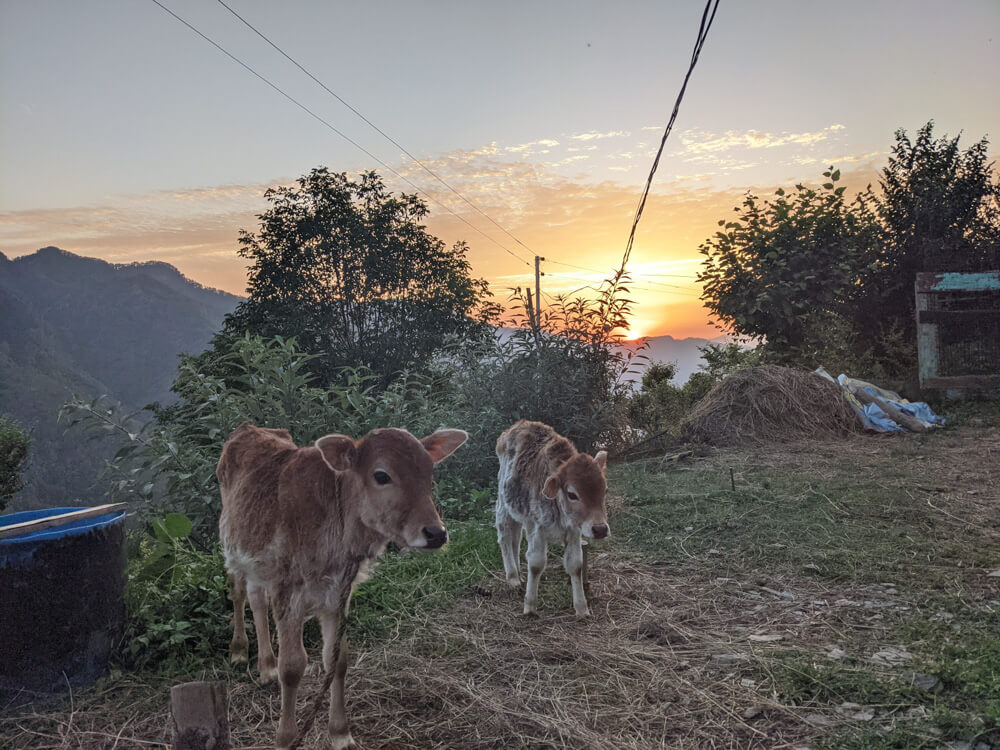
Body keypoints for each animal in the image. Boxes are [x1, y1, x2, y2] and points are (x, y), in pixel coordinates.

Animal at [217, 420, 466, 748]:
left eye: (429, 470)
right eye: (381, 475)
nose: (436, 533)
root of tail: (248, 427)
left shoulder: (337, 597)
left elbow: (337, 660)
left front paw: (340, 733)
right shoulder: (289, 593)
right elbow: (292, 667)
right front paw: (286, 738)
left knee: (257, 598)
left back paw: (266, 666)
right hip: (231, 545)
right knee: (238, 593)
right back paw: (239, 650)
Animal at [494, 420, 608, 620]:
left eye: (604, 490)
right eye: (572, 494)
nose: (600, 529)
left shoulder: (574, 529)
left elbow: (575, 564)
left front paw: (581, 608)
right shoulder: (536, 526)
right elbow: (536, 563)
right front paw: (530, 606)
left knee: (515, 538)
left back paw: (519, 574)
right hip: (504, 503)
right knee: (505, 535)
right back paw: (513, 577)